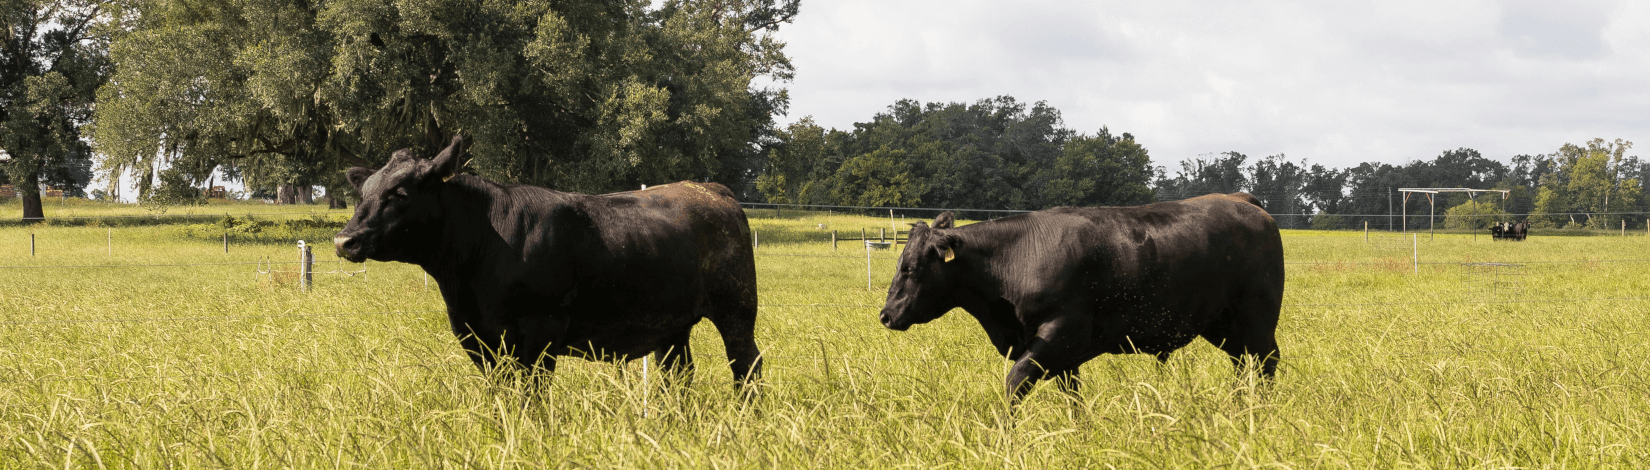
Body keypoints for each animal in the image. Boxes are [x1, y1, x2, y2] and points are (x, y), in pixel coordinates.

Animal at [333, 135, 762, 387]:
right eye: (363, 192)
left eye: (400, 193)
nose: (343, 240)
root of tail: (709, 189)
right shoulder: (475, 336)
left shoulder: (539, 331)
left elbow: (531, 395)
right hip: (672, 325)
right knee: (678, 373)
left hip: (737, 308)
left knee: (746, 363)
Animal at [878, 193, 1284, 402]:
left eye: (910, 268)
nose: (885, 314)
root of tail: (1241, 199)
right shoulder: (1062, 356)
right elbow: (1073, 398)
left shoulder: (1059, 334)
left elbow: (1013, 383)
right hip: (1222, 325)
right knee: (1242, 364)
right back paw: (1238, 406)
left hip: (1257, 318)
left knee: (1265, 362)